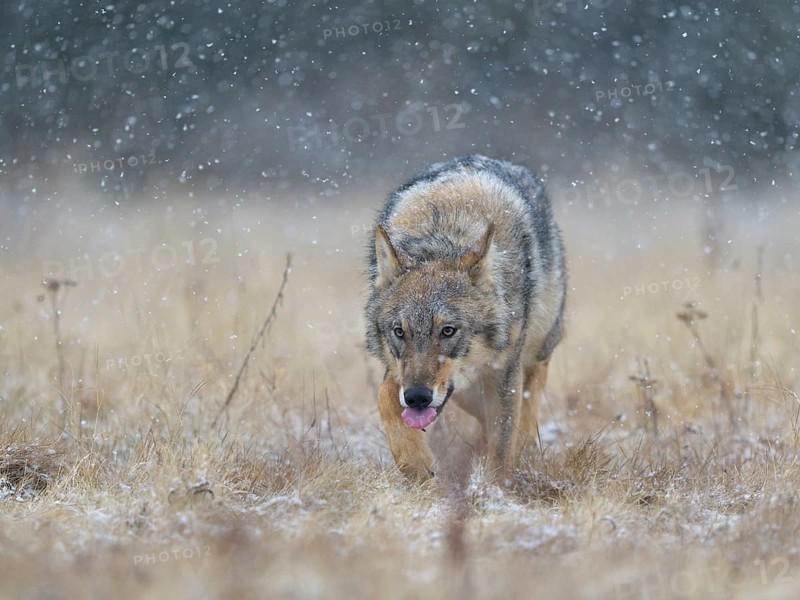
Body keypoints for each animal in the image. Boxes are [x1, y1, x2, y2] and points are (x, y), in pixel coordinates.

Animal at [365, 155, 567, 480]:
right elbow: (384, 396)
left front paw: (494, 489)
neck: (441, 235)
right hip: (467, 394)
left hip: (534, 352)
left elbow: (502, 448)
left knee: (529, 401)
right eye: (399, 331)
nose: (417, 397)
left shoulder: (504, 373)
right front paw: (417, 466)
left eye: (448, 330)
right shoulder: (396, 374)